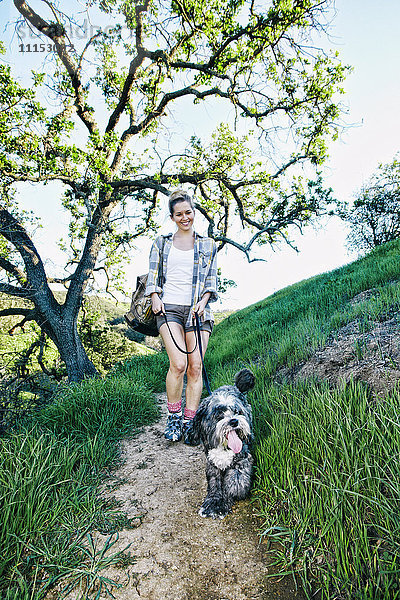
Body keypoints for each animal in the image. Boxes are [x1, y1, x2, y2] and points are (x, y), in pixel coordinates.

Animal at [186, 368, 255, 516]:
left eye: (237, 411)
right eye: (218, 414)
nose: (234, 421)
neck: (224, 448)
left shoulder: (243, 457)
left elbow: (235, 477)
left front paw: (231, 492)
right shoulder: (212, 463)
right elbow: (214, 483)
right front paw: (214, 501)